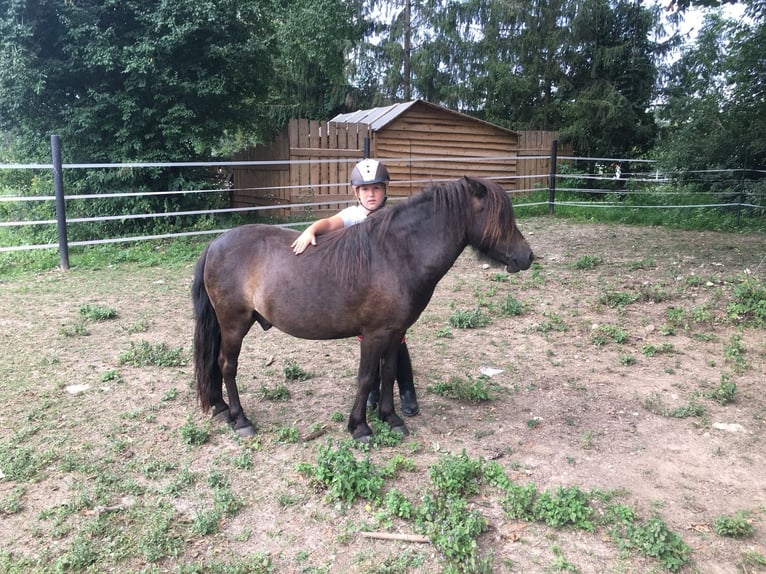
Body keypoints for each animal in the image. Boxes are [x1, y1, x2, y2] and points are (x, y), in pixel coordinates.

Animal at [192, 176, 534, 441]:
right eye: (500, 218)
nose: (527, 257)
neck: (396, 254)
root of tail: (215, 244)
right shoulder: (373, 335)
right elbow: (367, 377)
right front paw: (360, 427)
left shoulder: (395, 333)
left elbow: (389, 373)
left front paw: (391, 418)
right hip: (234, 324)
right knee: (227, 365)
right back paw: (241, 420)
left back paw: (221, 408)